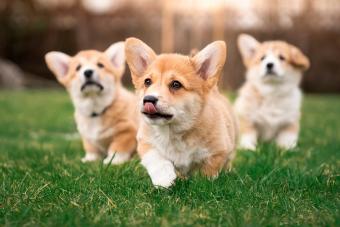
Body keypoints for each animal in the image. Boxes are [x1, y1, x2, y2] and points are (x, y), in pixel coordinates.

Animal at [124, 38, 236, 188]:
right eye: (147, 82)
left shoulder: (219, 150)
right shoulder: (146, 142)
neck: (174, 132)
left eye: (176, 84)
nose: (148, 99)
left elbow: (208, 170)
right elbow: (156, 159)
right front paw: (164, 179)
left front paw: (202, 183)